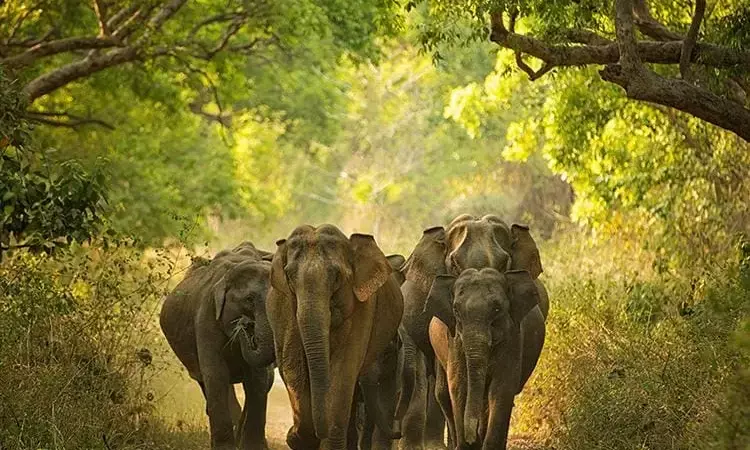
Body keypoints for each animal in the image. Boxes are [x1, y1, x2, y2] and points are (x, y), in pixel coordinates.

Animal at [159, 241, 276, 450]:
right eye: (249, 300)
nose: (245, 324)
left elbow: (258, 379)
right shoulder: (206, 317)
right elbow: (216, 374)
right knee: (206, 380)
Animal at [266, 224, 404, 450]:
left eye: (337, 276)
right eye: (289, 276)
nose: (290, 433)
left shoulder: (362, 308)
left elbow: (344, 370)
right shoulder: (285, 309)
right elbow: (292, 365)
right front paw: (298, 438)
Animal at [424, 268, 545, 449]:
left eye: (497, 309)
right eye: (456, 310)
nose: (471, 438)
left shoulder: (513, 339)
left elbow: (502, 387)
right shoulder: (454, 341)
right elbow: (459, 385)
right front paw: (468, 445)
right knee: (443, 394)